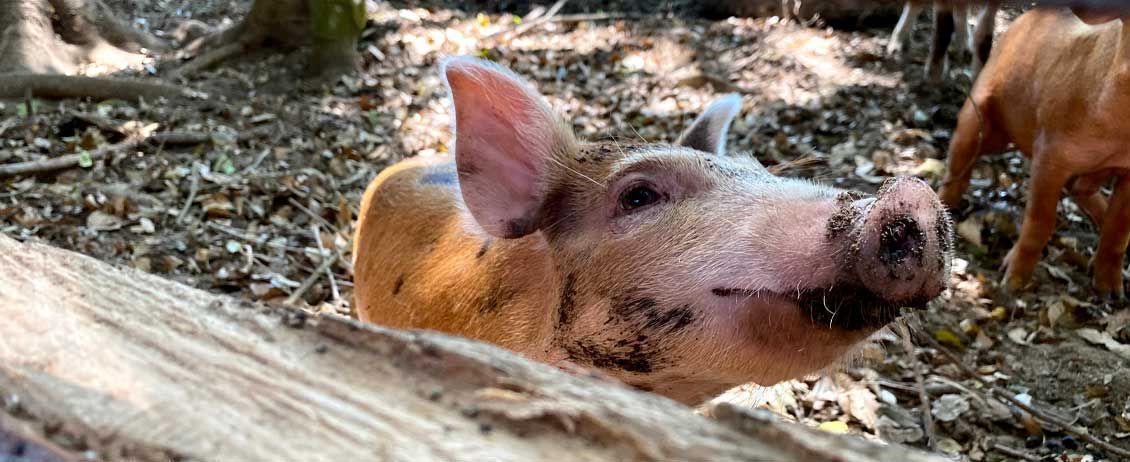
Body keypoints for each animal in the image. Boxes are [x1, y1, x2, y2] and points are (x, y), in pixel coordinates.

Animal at [938, 6, 1130, 297]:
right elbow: (1040, 221)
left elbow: (1118, 229)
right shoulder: (1049, 150)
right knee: (958, 165)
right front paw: (1012, 283)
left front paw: (1111, 292)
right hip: (980, 109)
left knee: (1082, 189)